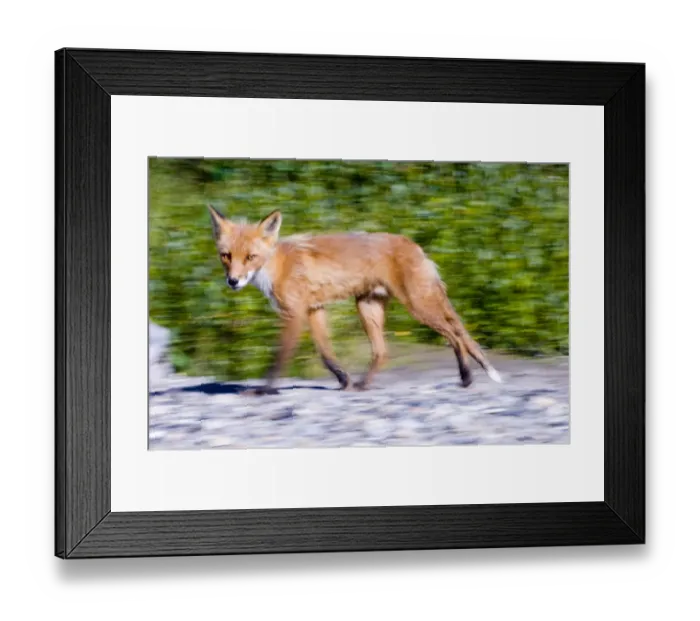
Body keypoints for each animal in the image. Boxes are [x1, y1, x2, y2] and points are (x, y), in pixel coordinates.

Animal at [208, 205, 502, 395]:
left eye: (250, 257)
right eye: (226, 256)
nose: (233, 281)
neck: (277, 266)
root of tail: (415, 245)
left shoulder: (294, 314)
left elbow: (278, 357)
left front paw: (263, 390)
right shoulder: (314, 310)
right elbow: (326, 354)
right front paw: (344, 379)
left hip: (418, 307)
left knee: (455, 336)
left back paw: (466, 377)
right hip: (368, 308)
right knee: (383, 352)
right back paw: (363, 385)